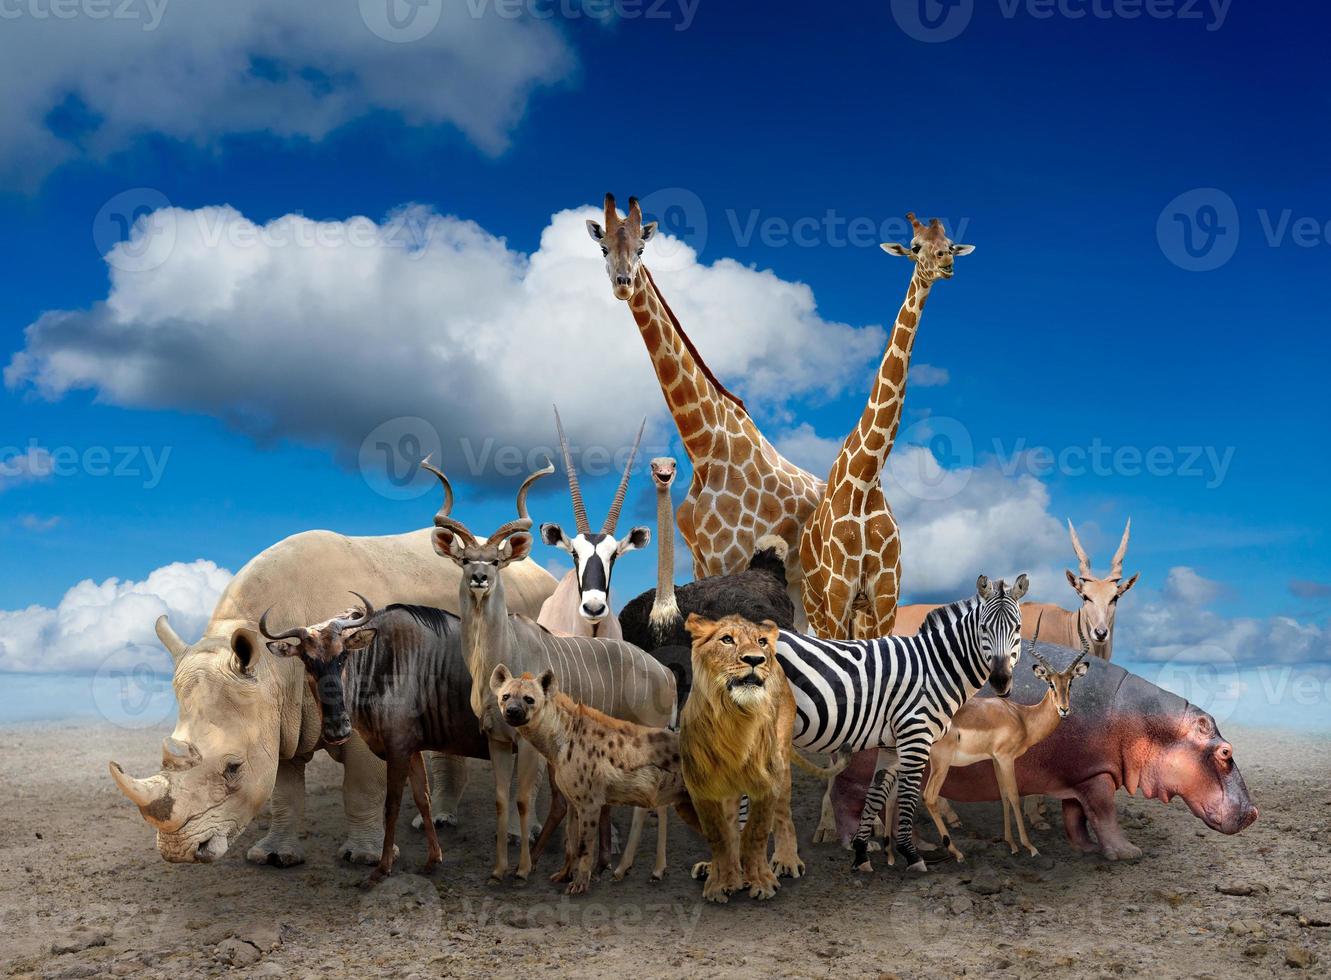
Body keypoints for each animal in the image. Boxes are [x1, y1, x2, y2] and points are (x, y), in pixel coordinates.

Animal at [588, 191, 825, 612]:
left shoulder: (729, 555)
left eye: (642, 248)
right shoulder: (701, 559)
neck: (703, 445)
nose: (623, 284)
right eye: (603, 248)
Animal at [676, 612, 798, 905]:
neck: (734, 720)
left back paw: (785, 861)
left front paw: (761, 882)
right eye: (727, 639)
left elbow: (756, 831)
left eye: (761, 641)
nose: (755, 659)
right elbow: (718, 834)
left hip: (783, 761)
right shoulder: (701, 788)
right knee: (731, 824)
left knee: (783, 814)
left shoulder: (768, 782)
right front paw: (721, 882)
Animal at [777, 575, 1022, 873]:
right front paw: (911, 854)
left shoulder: (891, 744)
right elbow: (908, 793)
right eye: (984, 628)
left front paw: (861, 854)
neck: (933, 668)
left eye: (1017, 628)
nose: (1000, 681)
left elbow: (876, 794)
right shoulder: (916, 735)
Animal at [793, 213, 974, 639]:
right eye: (915, 246)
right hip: (816, 604)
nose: (946, 263)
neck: (865, 478)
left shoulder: (887, 593)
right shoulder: (839, 591)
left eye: (949, 243)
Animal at [921, 615, 1086, 862]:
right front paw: (1030, 846)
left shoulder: (995, 760)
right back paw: (956, 852)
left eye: (1070, 683)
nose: (1064, 710)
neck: (1022, 717)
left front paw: (1012, 844)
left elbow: (1003, 796)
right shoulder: (1006, 758)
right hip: (941, 763)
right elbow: (1014, 796)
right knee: (928, 797)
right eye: (1050, 683)